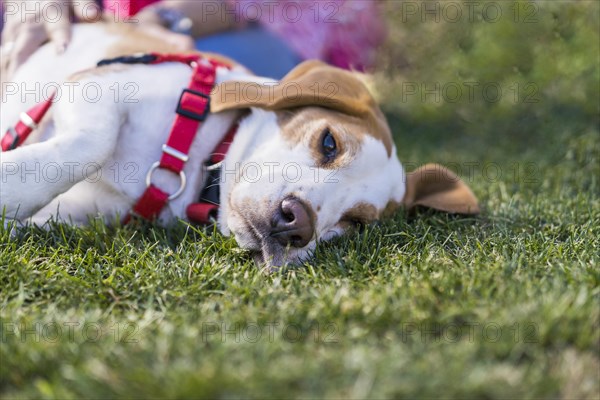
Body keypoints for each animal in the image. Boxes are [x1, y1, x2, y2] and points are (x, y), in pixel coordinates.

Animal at [0, 21, 478, 266]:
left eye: (355, 222)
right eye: (329, 143)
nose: (296, 224)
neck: (198, 165)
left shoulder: (87, 209)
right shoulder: (96, 85)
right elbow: (88, 146)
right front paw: (9, 183)